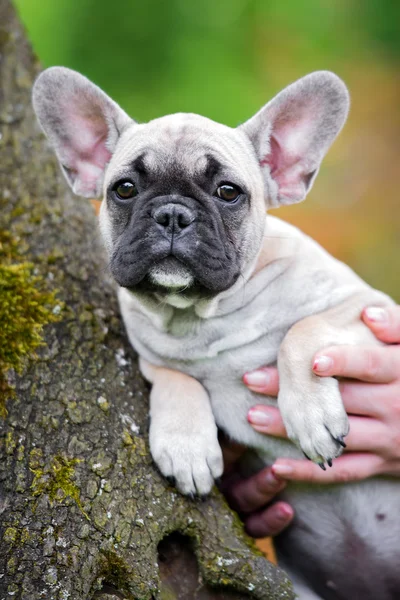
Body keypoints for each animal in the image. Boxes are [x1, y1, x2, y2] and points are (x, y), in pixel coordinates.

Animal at [32, 68, 398, 596]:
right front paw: (186, 445)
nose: (172, 213)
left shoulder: (367, 309)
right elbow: (174, 377)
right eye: (124, 188)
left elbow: (303, 329)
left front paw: (309, 415)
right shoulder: (151, 351)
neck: (207, 316)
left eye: (228, 192)